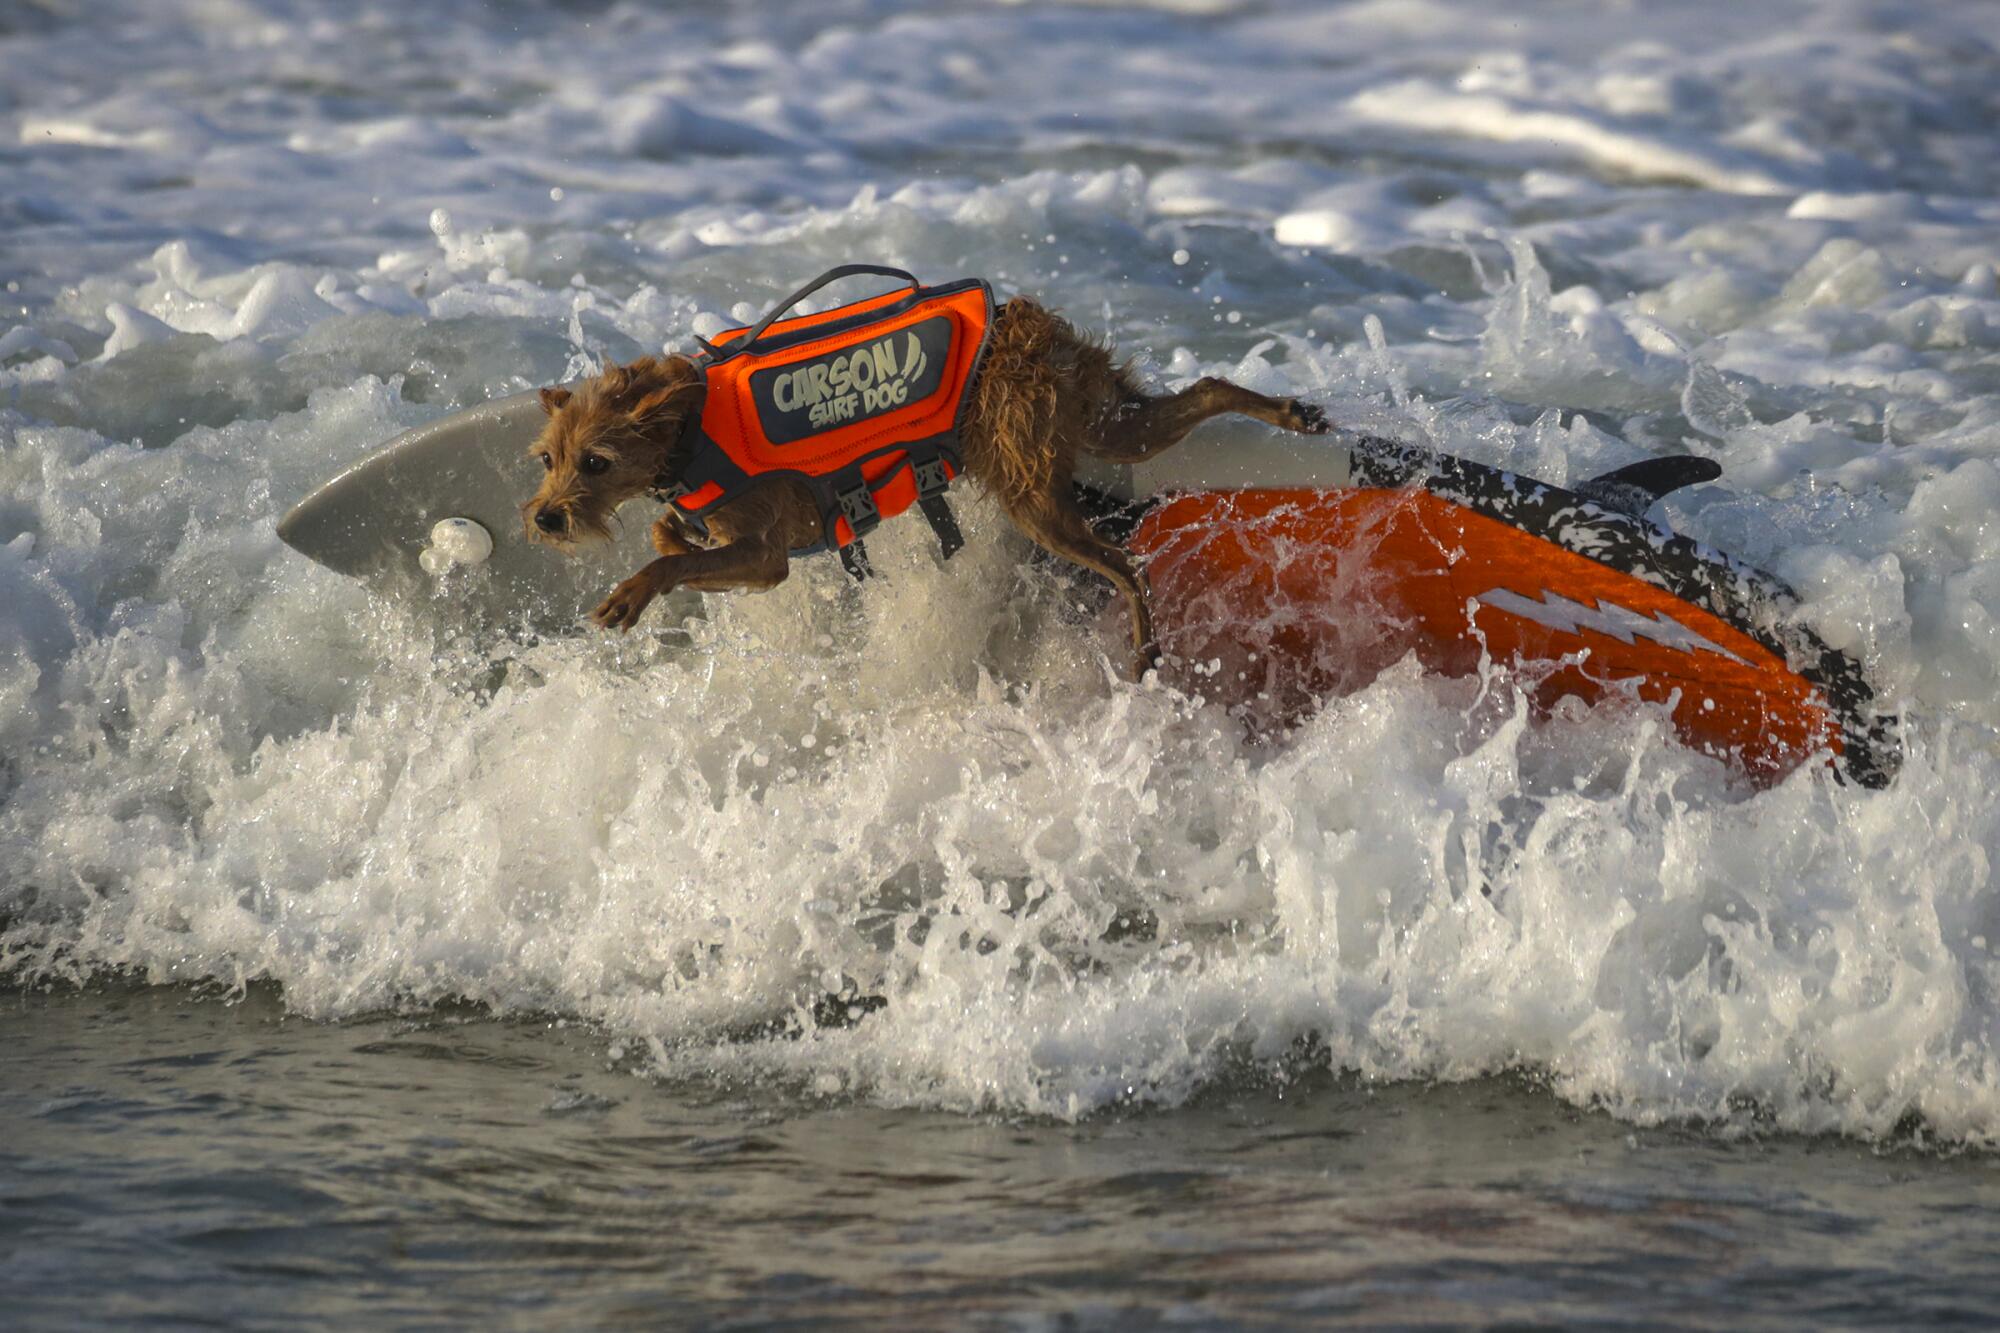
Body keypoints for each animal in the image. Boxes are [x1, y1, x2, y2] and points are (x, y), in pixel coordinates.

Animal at [524, 300, 1328, 676]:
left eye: (595, 462)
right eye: (547, 459)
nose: (545, 519)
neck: (689, 428)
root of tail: (1035, 329)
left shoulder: (769, 556)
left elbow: (670, 562)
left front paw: (630, 594)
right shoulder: (748, 553)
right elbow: (675, 544)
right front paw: (664, 539)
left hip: (1035, 496)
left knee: (1128, 566)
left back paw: (1144, 645)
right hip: (1106, 425)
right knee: (1206, 388)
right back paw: (1293, 411)